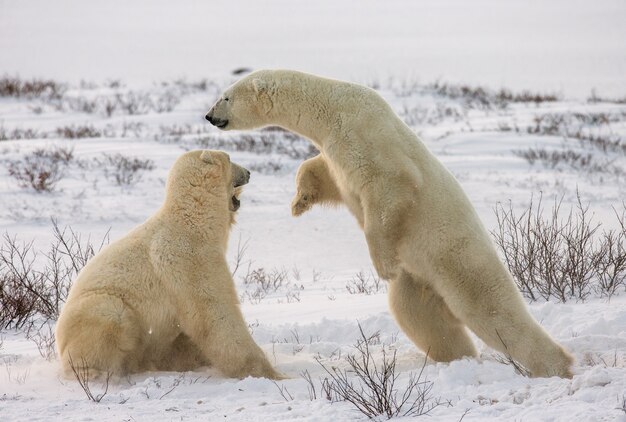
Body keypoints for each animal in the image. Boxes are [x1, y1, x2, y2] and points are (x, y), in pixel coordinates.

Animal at [56, 150, 280, 380]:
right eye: (228, 158)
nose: (249, 172)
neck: (193, 221)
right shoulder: (187, 259)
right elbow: (216, 314)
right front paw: (268, 372)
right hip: (99, 310)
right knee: (112, 318)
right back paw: (101, 372)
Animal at [205, 69, 572, 380]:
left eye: (225, 96)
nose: (209, 116)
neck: (333, 107)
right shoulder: (336, 150)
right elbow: (322, 173)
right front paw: (300, 203)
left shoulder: (367, 137)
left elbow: (391, 188)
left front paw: (383, 265)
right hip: (418, 281)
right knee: (424, 320)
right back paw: (460, 358)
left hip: (459, 259)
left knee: (493, 312)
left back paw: (558, 365)